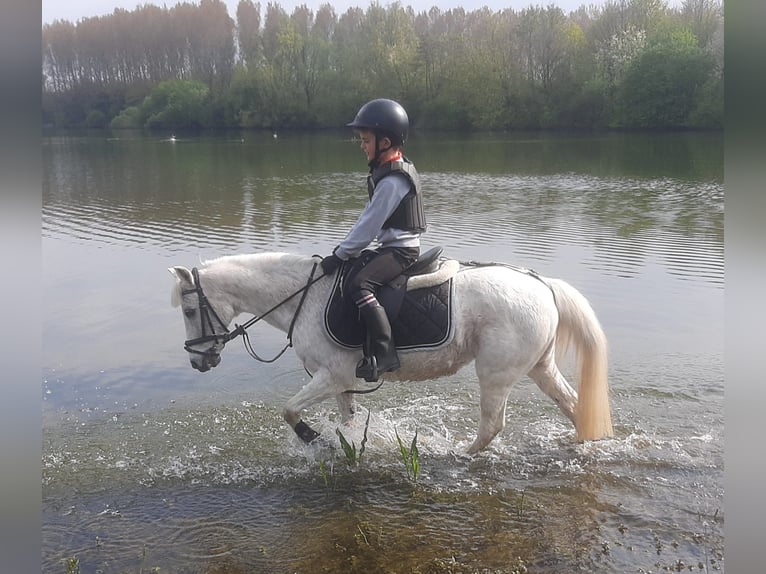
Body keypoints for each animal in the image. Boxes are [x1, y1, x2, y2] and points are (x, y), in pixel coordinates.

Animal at [168, 251, 613, 454]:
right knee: (573, 404)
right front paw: (344, 445)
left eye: (190, 311)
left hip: (497, 374)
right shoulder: (340, 382)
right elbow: (347, 420)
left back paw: (457, 454)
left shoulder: (331, 376)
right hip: (541, 366)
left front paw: (312, 437)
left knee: (491, 427)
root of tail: (544, 284)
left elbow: (289, 411)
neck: (304, 298)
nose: (197, 361)